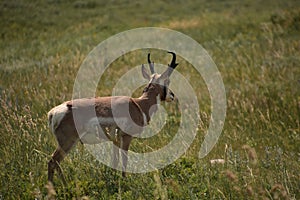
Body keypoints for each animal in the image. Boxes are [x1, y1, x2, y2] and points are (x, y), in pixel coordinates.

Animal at [47, 51, 178, 183]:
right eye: (168, 81)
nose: (172, 95)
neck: (139, 104)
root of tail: (54, 112)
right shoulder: (126, 137)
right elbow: (124, 159)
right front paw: (124, 180)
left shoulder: (115, 140)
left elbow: (115, 160)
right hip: (68, 142)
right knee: (53, 161)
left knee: (54, 162)